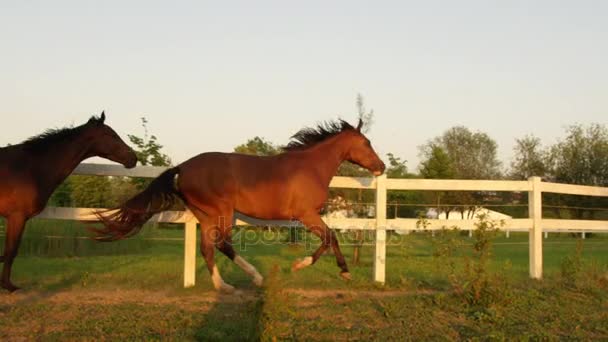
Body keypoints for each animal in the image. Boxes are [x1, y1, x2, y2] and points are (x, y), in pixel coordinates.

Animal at [0, 113, 135, 292]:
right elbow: (10, 251)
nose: (134, 158)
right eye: (112, 135)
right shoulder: (17, 217)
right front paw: (8, 286)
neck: (30, 169)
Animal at [95, 119, 384, 292]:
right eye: (366, 143)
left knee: (207, 248)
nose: (381, 167)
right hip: (222, 212)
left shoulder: (307, 216)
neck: (310, 167)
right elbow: (330, 237)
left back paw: (223, 286)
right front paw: (325, 269)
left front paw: (340, 271)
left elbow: (329, 238)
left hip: (206, 214)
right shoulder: (306, 214)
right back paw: (255, 277)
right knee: (222, 244)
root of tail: (183, 167)